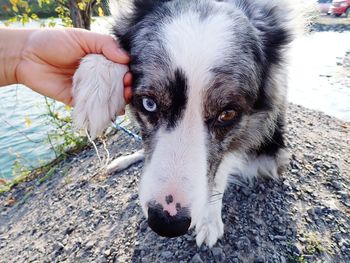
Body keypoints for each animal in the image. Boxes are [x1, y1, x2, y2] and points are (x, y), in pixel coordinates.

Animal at [72, 0, 294, 248]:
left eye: (227, 114)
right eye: (149, 104)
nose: (166, 223)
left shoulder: (252, 129)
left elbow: (219, 170)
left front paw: (209, 219)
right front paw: (95, 90)